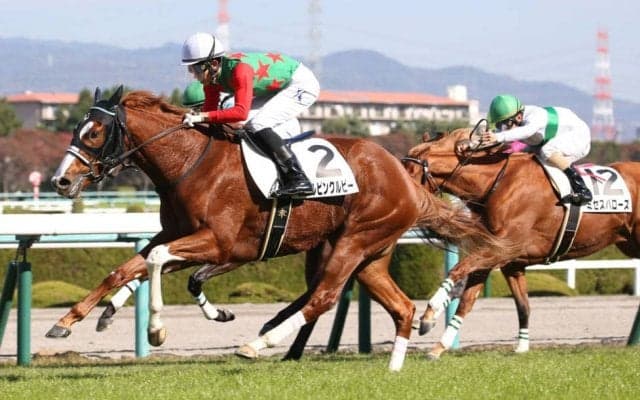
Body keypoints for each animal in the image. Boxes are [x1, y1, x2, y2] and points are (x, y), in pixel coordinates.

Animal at [49, 87, 507, 370]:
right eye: (76, 128)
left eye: (95, 132)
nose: (61, 181)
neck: (191, 163)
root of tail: (403, 174)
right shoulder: (180, 236)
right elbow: (127, 268)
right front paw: (70, 320)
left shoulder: (219, 244)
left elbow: (158, 261)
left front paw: (157, 329)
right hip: (370, 255)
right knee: (401, 307)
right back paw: (394, 364)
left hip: (353, 243)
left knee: (324, 297)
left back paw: (259, 344)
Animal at [402, 127, 640, 359]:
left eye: (409, 171)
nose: (403, 200)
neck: (495, 183)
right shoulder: (507, 259)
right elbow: (491, 303)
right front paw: (440, 347)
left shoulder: (503, 248)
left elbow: (457, 271)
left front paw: (429, 315)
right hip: (628, 244)